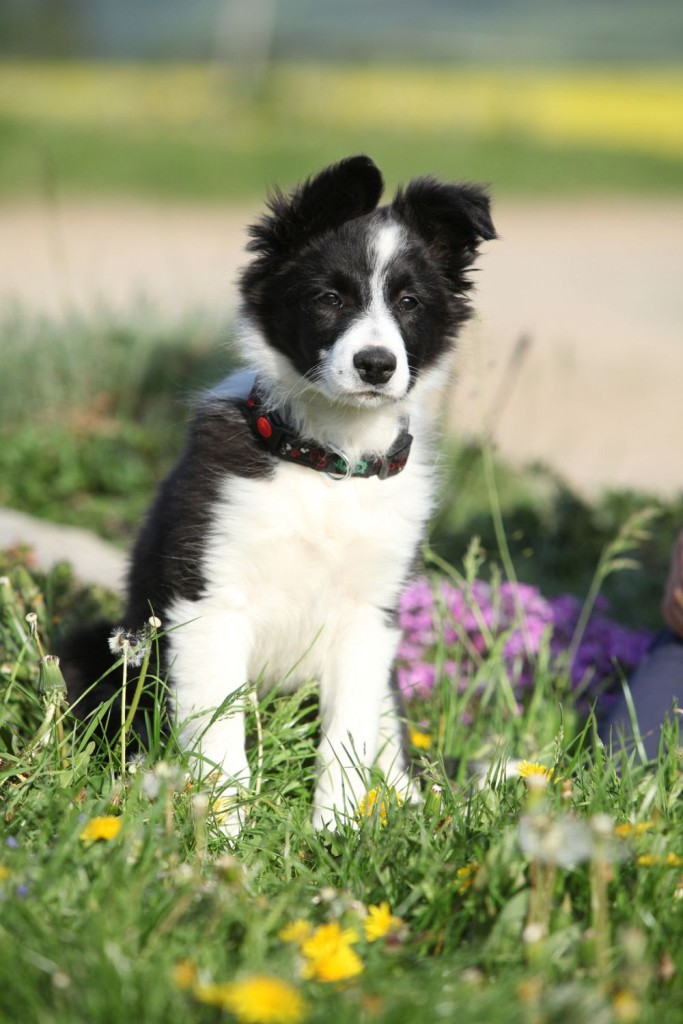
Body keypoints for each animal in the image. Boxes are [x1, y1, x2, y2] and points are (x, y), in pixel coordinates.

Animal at [63, 157, 493, 831]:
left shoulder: (369, 617)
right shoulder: (210, 602)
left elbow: (347, 733)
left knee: (390, 741)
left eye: (409, 303)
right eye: (329, 299)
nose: (376, 364)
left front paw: (339, 828)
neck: (329, 463)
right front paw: (224, 830)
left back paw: (408, 803)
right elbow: (220, 733)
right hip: (104, 650)